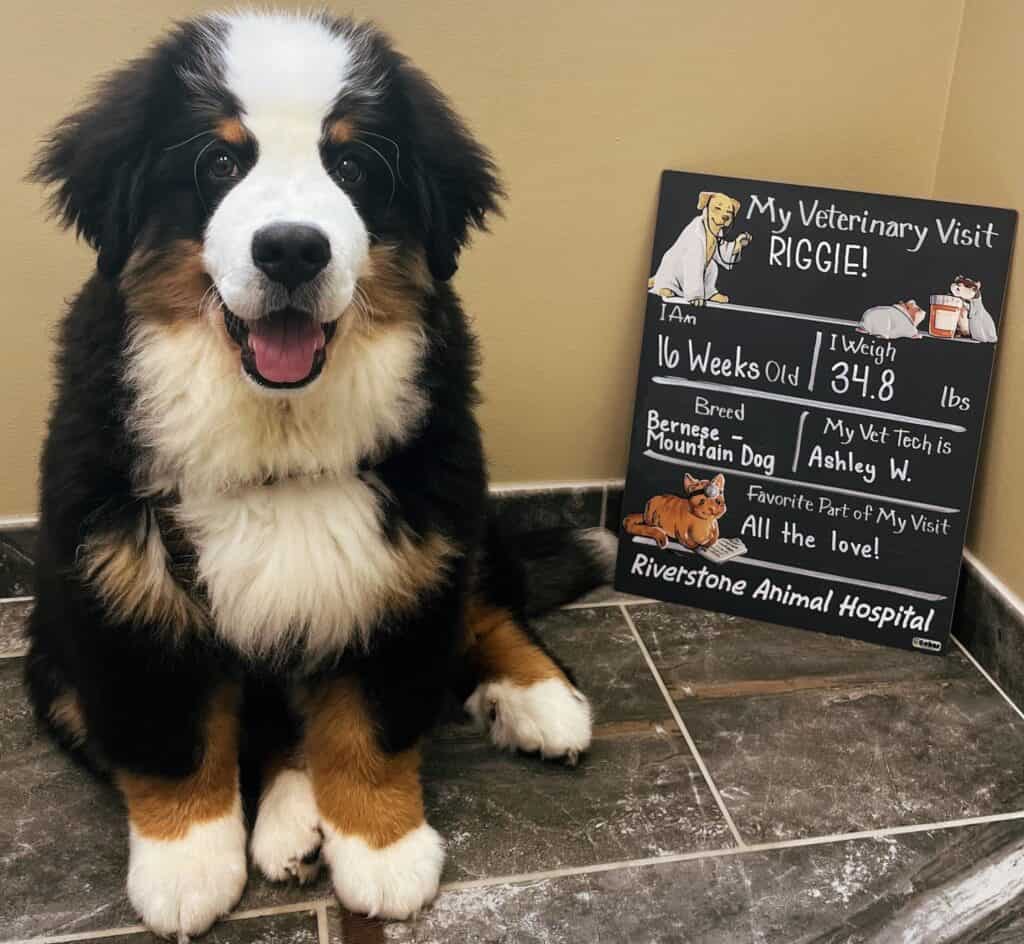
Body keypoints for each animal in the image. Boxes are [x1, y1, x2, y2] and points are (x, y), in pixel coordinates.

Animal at [25, 11, 614, 937]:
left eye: (353, 167)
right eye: (219, 162)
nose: (293, 250)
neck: (277, 427)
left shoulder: (408, 554)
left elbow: (370, 722)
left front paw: (381, 848)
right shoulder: (122, 584)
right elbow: (171, 737)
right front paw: (186, 865)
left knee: (488, 598)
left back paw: (538, 699)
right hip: (50, 657)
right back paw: (291, 824)